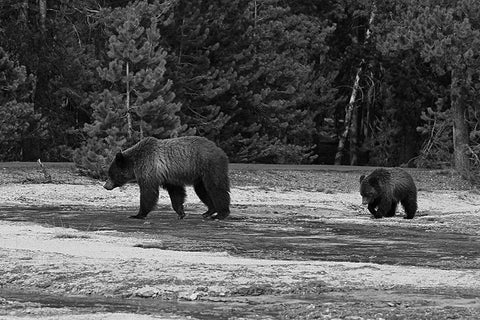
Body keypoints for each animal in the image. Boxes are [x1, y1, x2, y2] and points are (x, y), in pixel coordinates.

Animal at [104, 135, 232, 220]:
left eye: (110, 174)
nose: (105, 186)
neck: (135, 164)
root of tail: (219, 149)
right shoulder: (169, 176)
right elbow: (176, 193)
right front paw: (181, 212)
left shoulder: (149, 169)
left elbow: (148, 192)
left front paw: (138, 214)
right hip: (200, 175)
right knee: (202, 190)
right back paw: (209, 211)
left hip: (210, 165)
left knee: (216, 188)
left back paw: (221, 214)